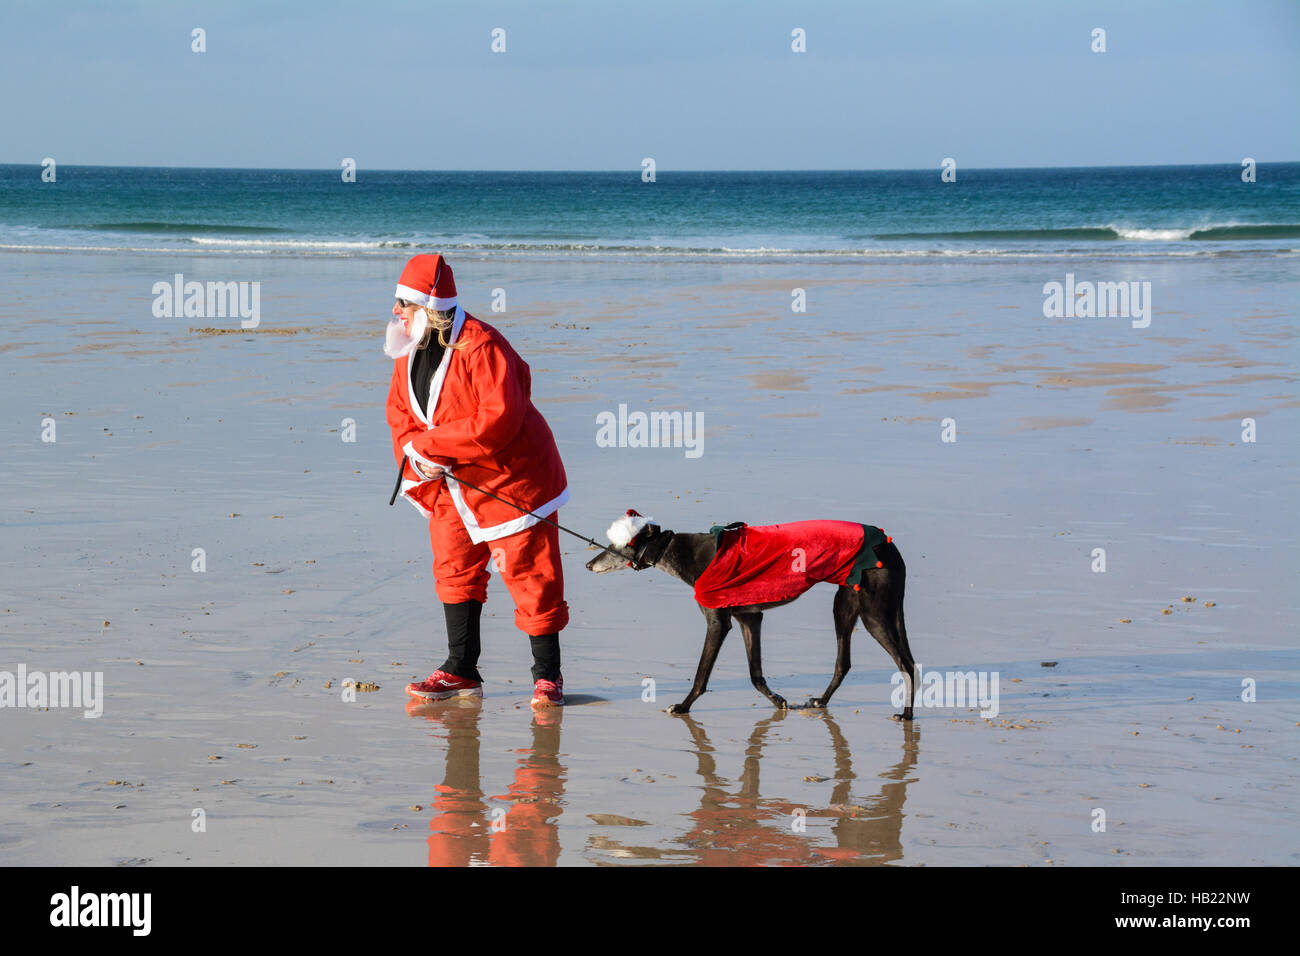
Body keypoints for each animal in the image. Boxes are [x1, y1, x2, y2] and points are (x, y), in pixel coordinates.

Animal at [585, 512, 920, 723]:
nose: (589, 564)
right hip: (847, 605)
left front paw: (682, 706)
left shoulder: (718, 622)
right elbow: (755, 673)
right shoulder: (750, 618)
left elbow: (702, 674)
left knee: (905, 663)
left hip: (874, 613)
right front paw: (778, 701)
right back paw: (821, 702)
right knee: (845, 662)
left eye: (615, 546)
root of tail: (888, 543)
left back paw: (906, 714)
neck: (682, 552)